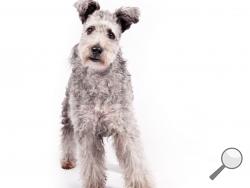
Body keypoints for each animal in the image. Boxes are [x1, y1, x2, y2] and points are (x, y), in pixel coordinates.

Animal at [61, 0, 152, 187]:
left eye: (111, 34)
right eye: (90, 29)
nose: (96, 48)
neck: (100, 78)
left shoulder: (124, 125)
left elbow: (134, 158)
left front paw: (140, 182)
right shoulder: (87, 128)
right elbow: (92, 164)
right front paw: (94, 184)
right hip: (68, 113)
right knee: (67, 135)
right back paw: (67, 160)